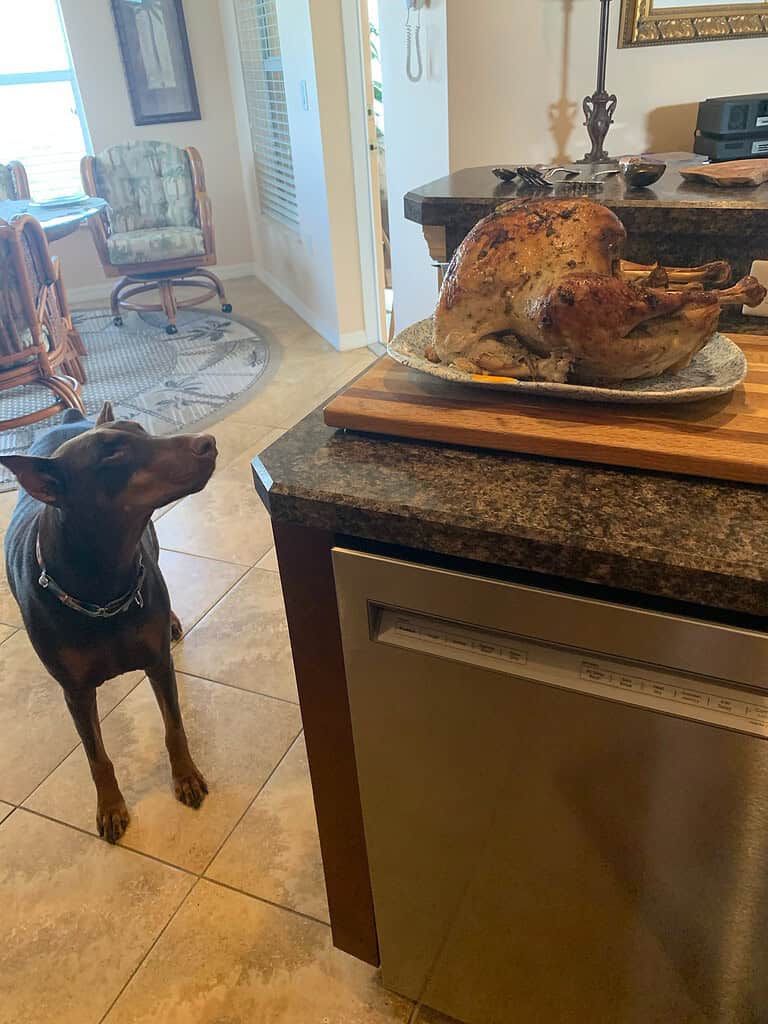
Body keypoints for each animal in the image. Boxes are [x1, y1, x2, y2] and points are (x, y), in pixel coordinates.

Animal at [0, 403, 217, 843]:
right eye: (111, 454)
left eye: (141, 430)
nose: (208, 443)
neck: (102, 587)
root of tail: (70, 416)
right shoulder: (75, 691)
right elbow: (96, 756)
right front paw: (111, 808)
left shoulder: (158, 662)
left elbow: (174, 726)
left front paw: (186, 776)